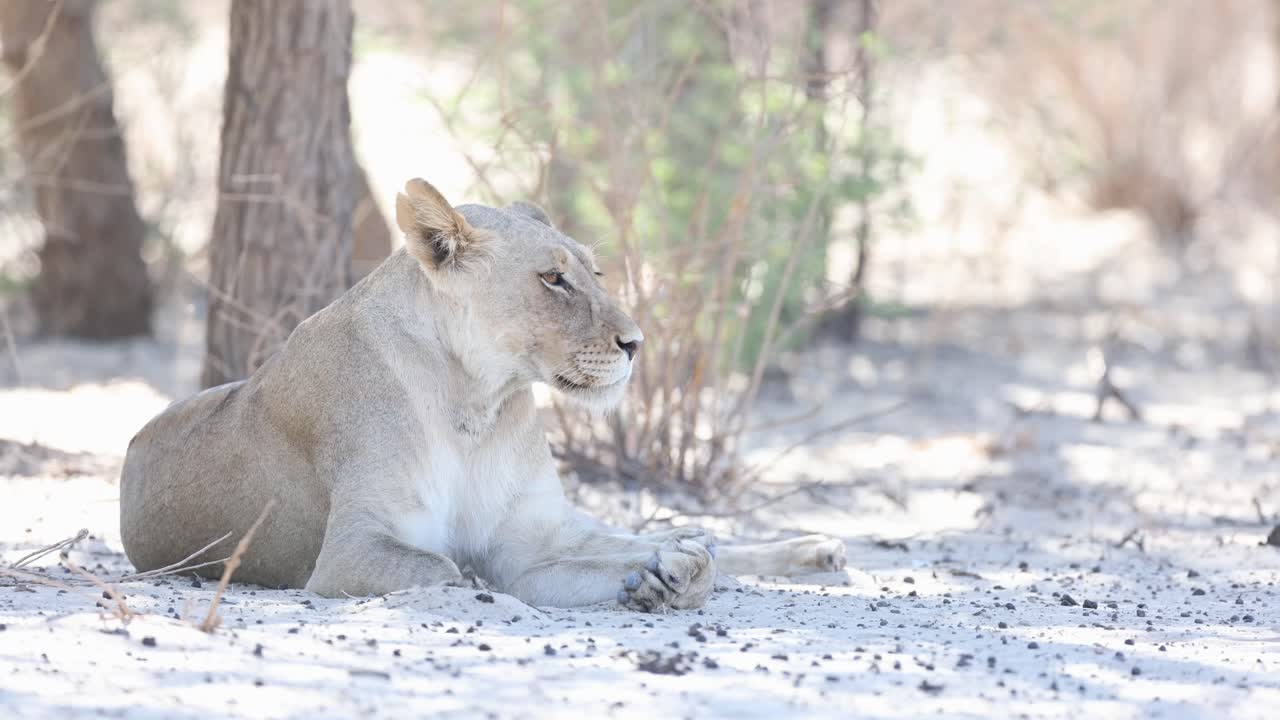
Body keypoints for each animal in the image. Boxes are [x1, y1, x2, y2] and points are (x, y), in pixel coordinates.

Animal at [119, 179, 846, 611]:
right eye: (553, 279)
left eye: (595, 272)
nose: (637, 343)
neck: (476, 399)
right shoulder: (351, 552)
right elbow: (455, 572)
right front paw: (656, 581)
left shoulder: (527, 541)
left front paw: (671, 578)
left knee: (690, 539)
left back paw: (806, 550)